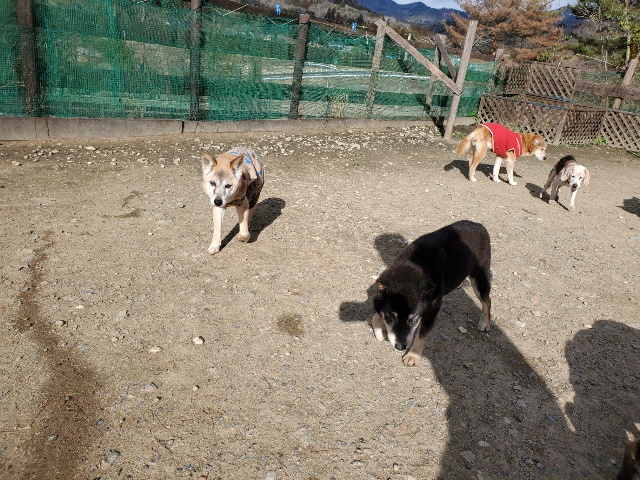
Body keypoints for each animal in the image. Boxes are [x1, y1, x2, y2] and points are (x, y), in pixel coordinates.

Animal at [371, 220, 492, 366]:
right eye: (390, 316)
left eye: (414, 318)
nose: (400, 347)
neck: (415, 265)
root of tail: (478, 224)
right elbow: (376, 316)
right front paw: (379, 331)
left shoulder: (433, 308)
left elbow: (422, 334)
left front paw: (413, 355)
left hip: (479, 278)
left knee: (487, 300)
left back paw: (484, 323)